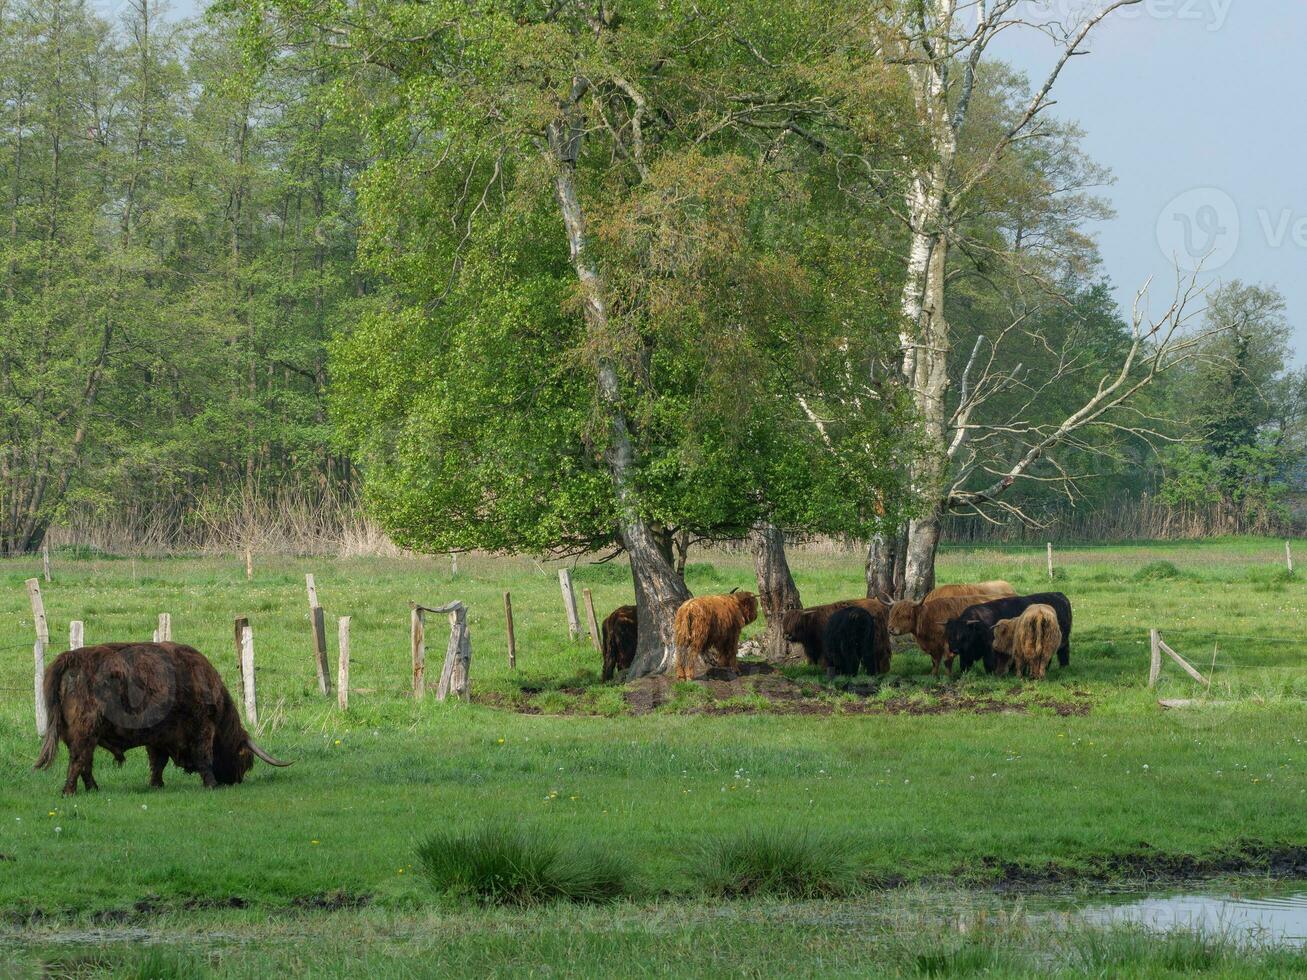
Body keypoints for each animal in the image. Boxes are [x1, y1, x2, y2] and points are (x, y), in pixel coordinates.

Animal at [34, 645, 290, 799]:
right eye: (244, 760)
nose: (235, 781)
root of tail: (71, 657)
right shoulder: (202, 728)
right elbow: (203, 757)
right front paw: (211, 784)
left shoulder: (158, 737)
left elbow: (158, 763)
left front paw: (156, 784)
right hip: (85, 730)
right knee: (78, 761)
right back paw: (70, 791)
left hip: (78, 734)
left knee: (85, 762)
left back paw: (93, 789)